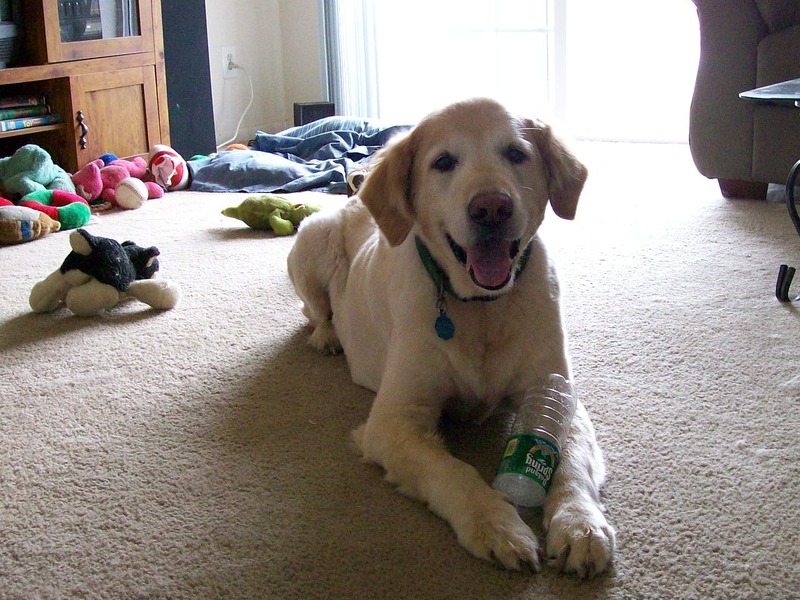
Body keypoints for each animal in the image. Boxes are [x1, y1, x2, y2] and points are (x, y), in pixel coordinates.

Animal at [290, 97, 616, 576]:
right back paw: (328, 337)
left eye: (516, 153)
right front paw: (496, 525)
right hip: (312, 240)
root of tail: (355, 197)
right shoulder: (393, 420)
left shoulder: (556, 390)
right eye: (443, 162)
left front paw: (580, 525)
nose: (491, 208)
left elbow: (569, 461)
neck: (482, 307)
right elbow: (453, 472)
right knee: (314, 310)